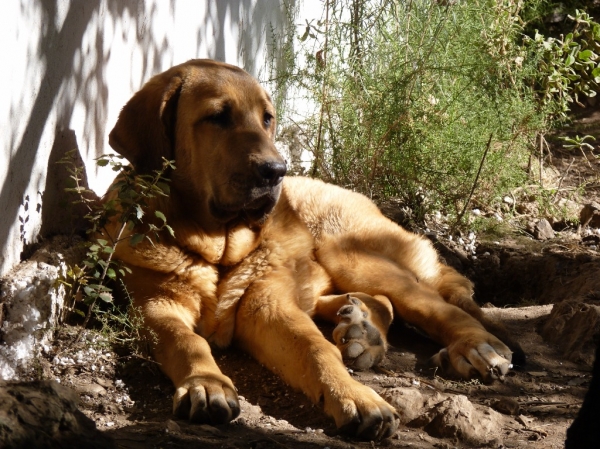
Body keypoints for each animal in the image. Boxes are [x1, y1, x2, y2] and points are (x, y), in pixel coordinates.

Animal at [103, 58, 516, 438]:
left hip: (349, 254)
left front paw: (356, 396)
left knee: (435, 307)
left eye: (267, 119)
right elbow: (186, 342)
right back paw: (359, 326)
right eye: (217, 117)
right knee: (376, 302)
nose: (276, 171)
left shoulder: (268, 306)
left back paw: (475, 346)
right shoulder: (157, 307)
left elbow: (315, 350)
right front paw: (206, 383)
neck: (218, 247)